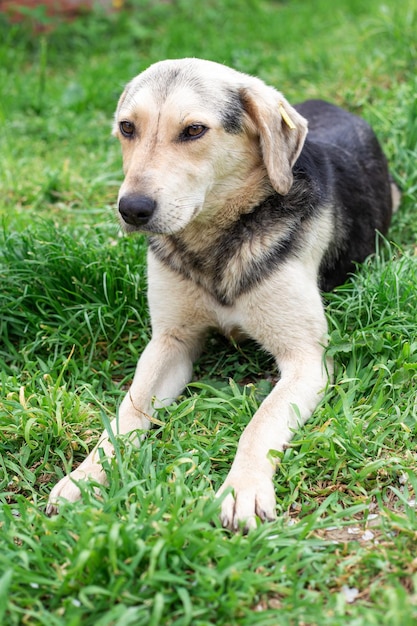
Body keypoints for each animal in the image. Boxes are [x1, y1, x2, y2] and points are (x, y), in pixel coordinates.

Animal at [46, 57, 400, 528]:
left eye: (194, 130)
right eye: (126, 127)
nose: (131, 209)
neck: (213, 241)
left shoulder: (307, 358)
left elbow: (260, 421)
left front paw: (242, 489)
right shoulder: (170, 341)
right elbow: (128, 410)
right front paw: (85, 475)